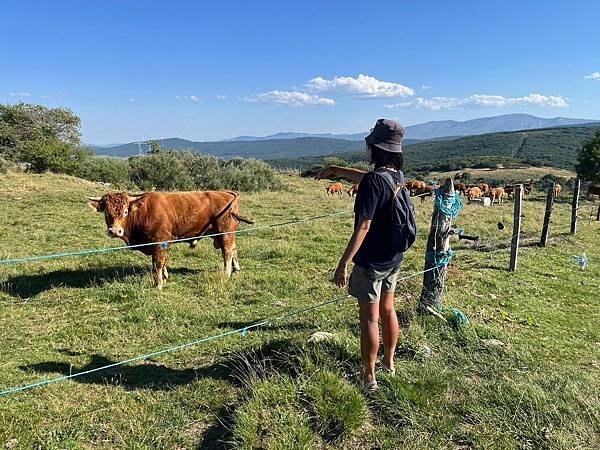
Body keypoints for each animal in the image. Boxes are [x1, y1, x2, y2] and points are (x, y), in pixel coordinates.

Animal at [86, 190, 251, 288]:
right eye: (106, 212)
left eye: (126, 211)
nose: (115, 231)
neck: (143, 212)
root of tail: (225, 192)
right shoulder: (157, 244)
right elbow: (159, 262)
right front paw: (164, 277)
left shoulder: (160, 242)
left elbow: (158, 263)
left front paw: (158, 284)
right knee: (234, 249)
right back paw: (236, 270)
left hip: (225, 233)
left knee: (227, 252)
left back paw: (226, 273)